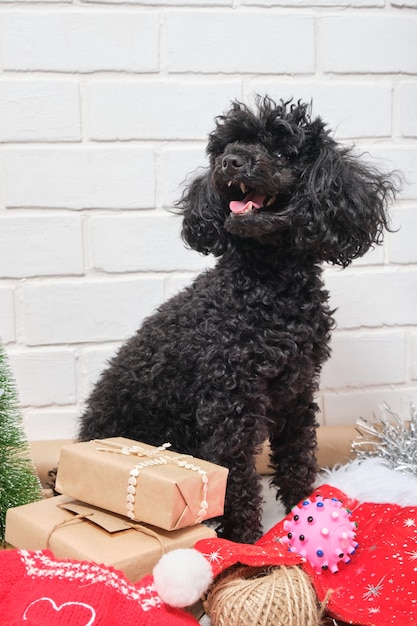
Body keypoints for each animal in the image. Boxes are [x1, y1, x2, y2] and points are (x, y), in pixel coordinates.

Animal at [77, 96, 396, 540]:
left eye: (282, 150)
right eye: (226, 147)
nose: (231, 162)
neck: (269, 288)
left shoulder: (296, 389)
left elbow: (298, 455)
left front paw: (304, 511)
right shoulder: (229, 401)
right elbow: (236, 477)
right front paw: (244, 542)